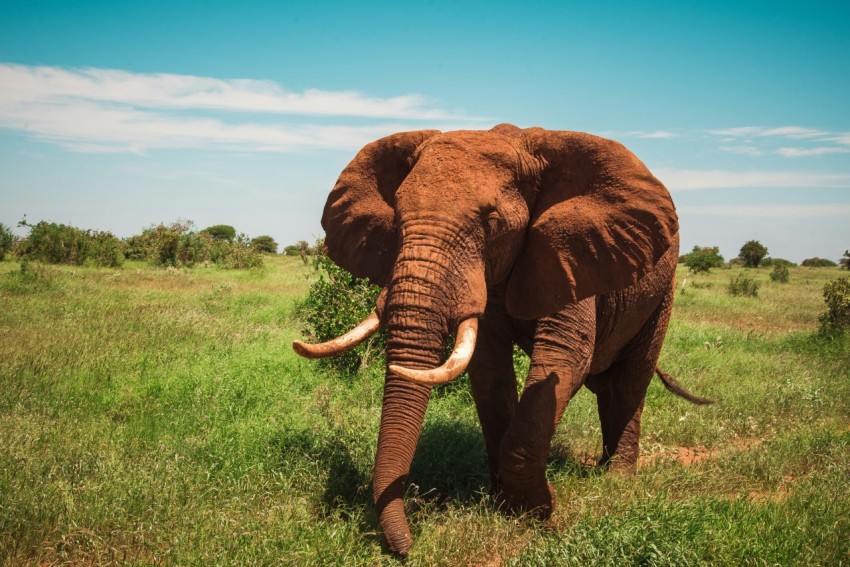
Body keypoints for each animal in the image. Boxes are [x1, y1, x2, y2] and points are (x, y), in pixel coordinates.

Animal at [293, 124, 712, 556]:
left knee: (629, 382)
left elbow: (565, 358)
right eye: (396, 216)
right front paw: (504, 504)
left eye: (492, 221)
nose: (406, 549)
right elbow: (489, 370)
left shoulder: (570, 253)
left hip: (662, 291)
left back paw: (617, 479)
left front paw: (539, 510)